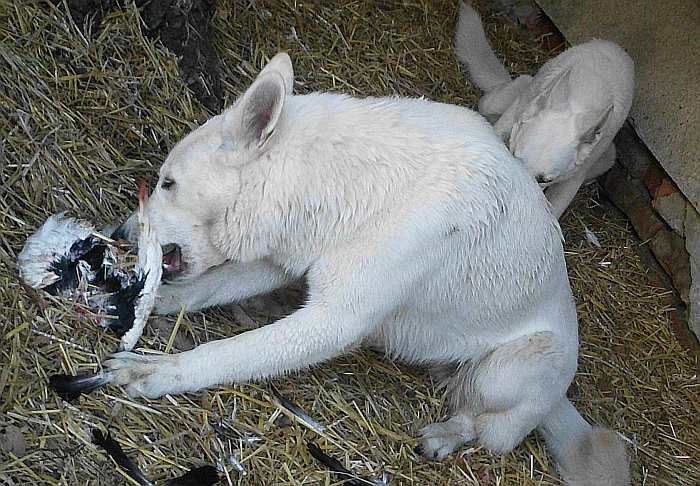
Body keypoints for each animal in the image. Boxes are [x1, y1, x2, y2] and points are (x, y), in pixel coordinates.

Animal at [108, 51, 628, 484]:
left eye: (168, 183)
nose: (121, 233)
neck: (349, 185)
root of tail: (560, 395)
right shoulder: (289, 261)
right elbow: (207, 288)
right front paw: (153, 302)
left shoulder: (331, 322)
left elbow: (223, 355)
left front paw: (154, 372)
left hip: (519, 364)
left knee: (486, 430)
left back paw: (445, 437)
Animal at [454, 1, 636, 218]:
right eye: (514, 157)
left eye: (544, 180)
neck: (586, 94)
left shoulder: (571, 181)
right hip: (513, 92)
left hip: (608, 156)